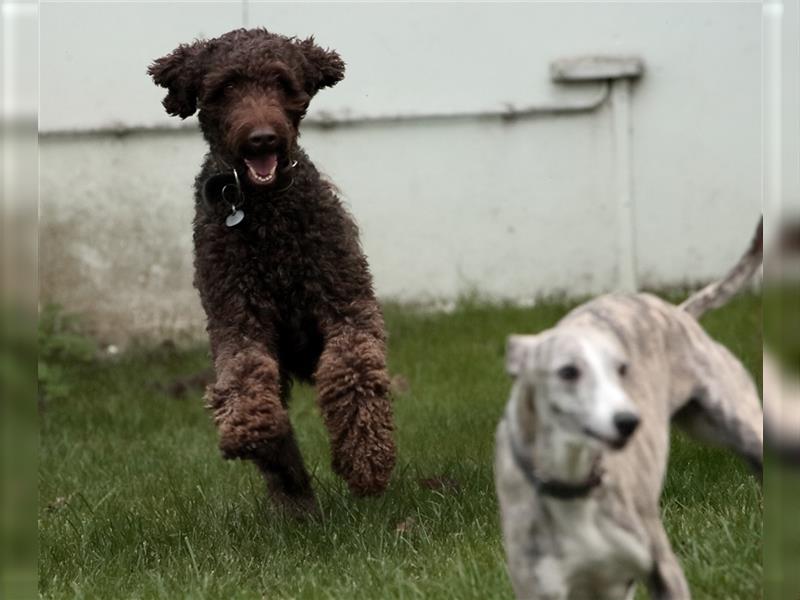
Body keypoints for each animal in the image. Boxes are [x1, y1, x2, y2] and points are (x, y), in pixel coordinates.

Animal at [148, 28, 396, 516]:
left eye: (282, 83)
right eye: (226, 87)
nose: (262, 139)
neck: (266, 215)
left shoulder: (346, 305)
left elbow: (353, 367)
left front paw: (366, 459)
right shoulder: (237, 317)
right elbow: (244, 373)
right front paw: (251, 428)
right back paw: (293, 500)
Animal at [494, 220, 764, 600]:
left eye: (622, 368)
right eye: (567, 372)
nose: (629, 422)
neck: (575, 485)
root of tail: (677, 313)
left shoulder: (661, 567)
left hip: (741, 424)